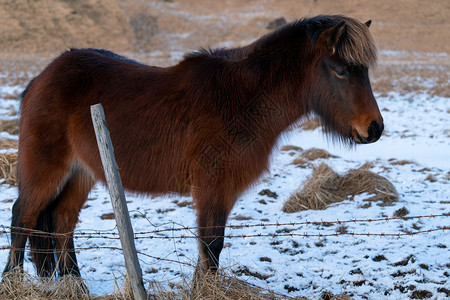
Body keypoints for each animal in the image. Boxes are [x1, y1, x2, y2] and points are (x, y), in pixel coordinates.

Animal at [2, 14, 384, 282]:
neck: (242, 98)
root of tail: (41, 78)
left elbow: (210, 247)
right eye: (340, 70)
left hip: (82, 172)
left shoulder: (223, 188)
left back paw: (74, 285)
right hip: (46, 169)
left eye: (364, 71)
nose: (374, 128)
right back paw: (14, 281)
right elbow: (211, 243)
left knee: (61, 221)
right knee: (23, 218)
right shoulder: (212, 183)